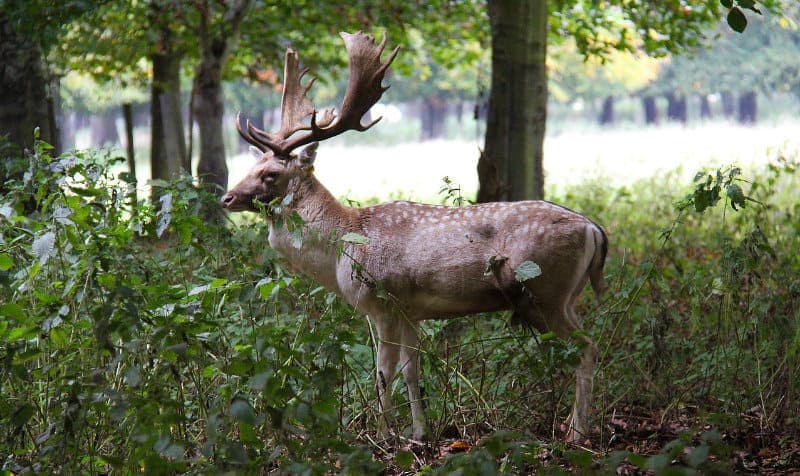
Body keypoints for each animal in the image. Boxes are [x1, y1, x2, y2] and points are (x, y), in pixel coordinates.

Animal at [219, 32, 608, 442]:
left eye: (271, 174)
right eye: (252, 166)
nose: (227, 198)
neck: (343, 245)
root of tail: (593, 229)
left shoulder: (382, 302)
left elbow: (382, 374)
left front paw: (383, 434)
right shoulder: (410, 311)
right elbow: (411, 371)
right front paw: (419, 432)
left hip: (544, 290)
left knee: (587, 349)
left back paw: (577, 433)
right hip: (567, 297)